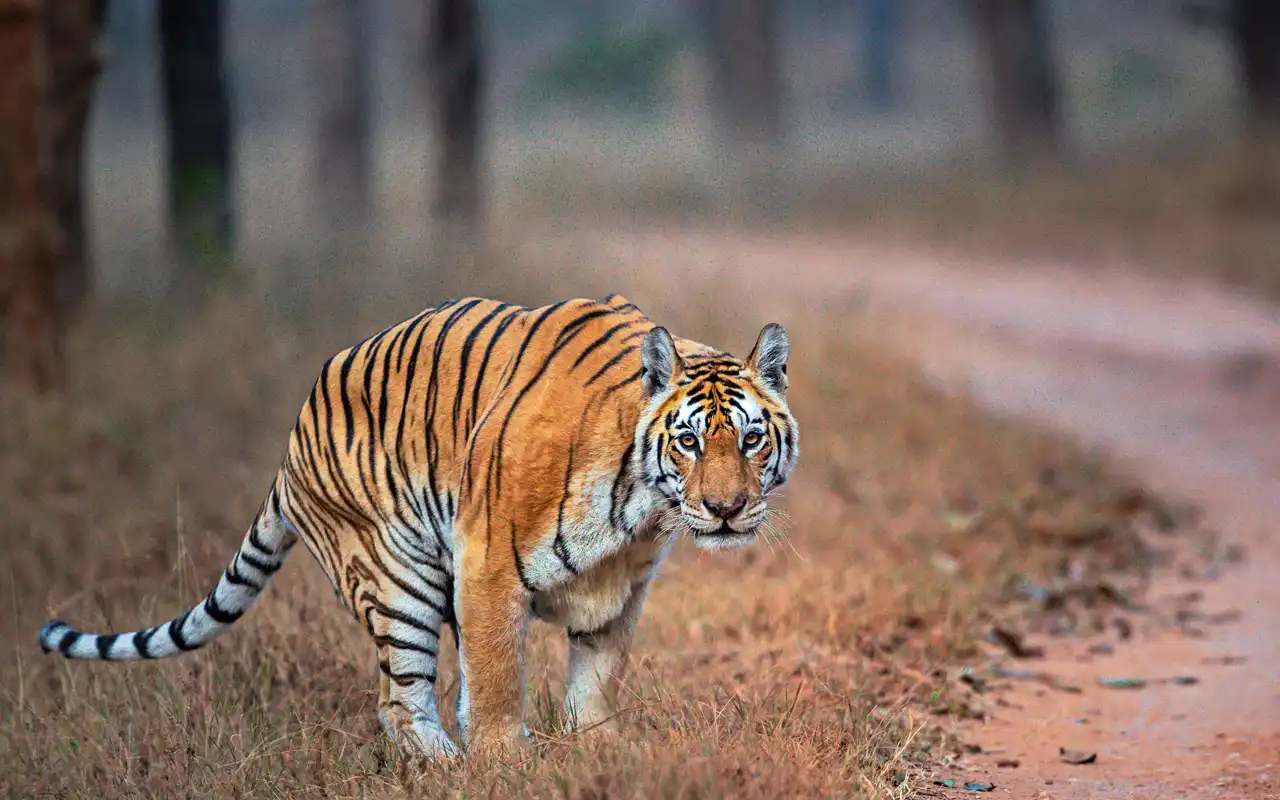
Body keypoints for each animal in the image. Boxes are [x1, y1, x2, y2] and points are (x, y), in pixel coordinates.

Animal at [37, 293, 799, 757]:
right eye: (689, 441)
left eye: (751, 439)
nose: (726, 509)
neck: (638, 507)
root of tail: (291, 445)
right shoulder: (487, 565)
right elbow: (496, 682)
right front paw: (509, 767)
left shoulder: (620, 592)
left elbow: (595, 680)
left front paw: (600, 754)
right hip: (396, 577)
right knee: (399, 703)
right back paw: (450, 767)